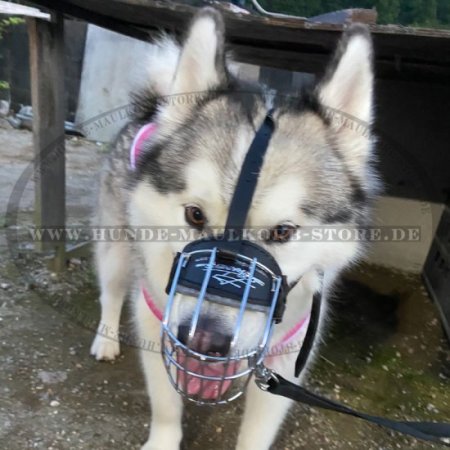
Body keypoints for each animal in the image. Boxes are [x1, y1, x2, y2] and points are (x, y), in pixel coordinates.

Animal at [89, 7, 378, 450]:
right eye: (195, 215)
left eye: (282, 232)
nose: (203, 341)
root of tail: (151, 111)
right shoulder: (157, 322)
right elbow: (166, 404)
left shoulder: (287, 361)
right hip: (118, 247)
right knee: (112, 290)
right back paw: (104, 339)